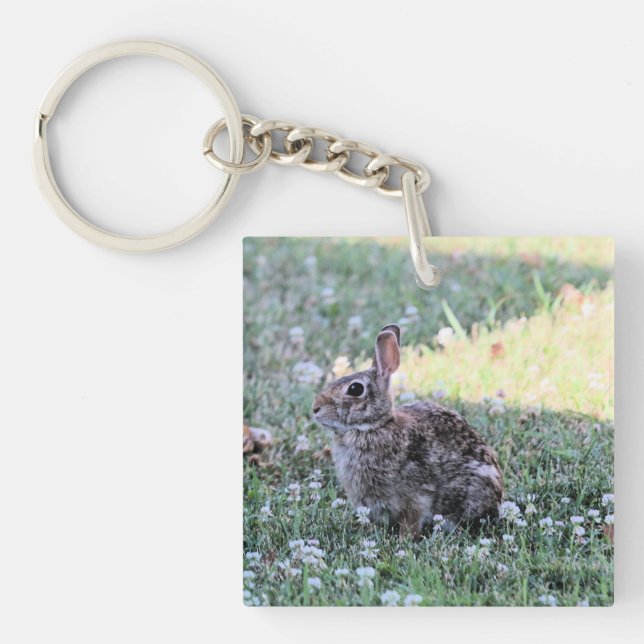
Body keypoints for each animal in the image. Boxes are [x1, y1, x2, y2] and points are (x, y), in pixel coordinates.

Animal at [312, 323, 503, 536]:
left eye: (355, 389)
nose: (315, 408)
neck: (374, 426)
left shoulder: (415, 497)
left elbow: (411, 521)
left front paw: (403, 539)